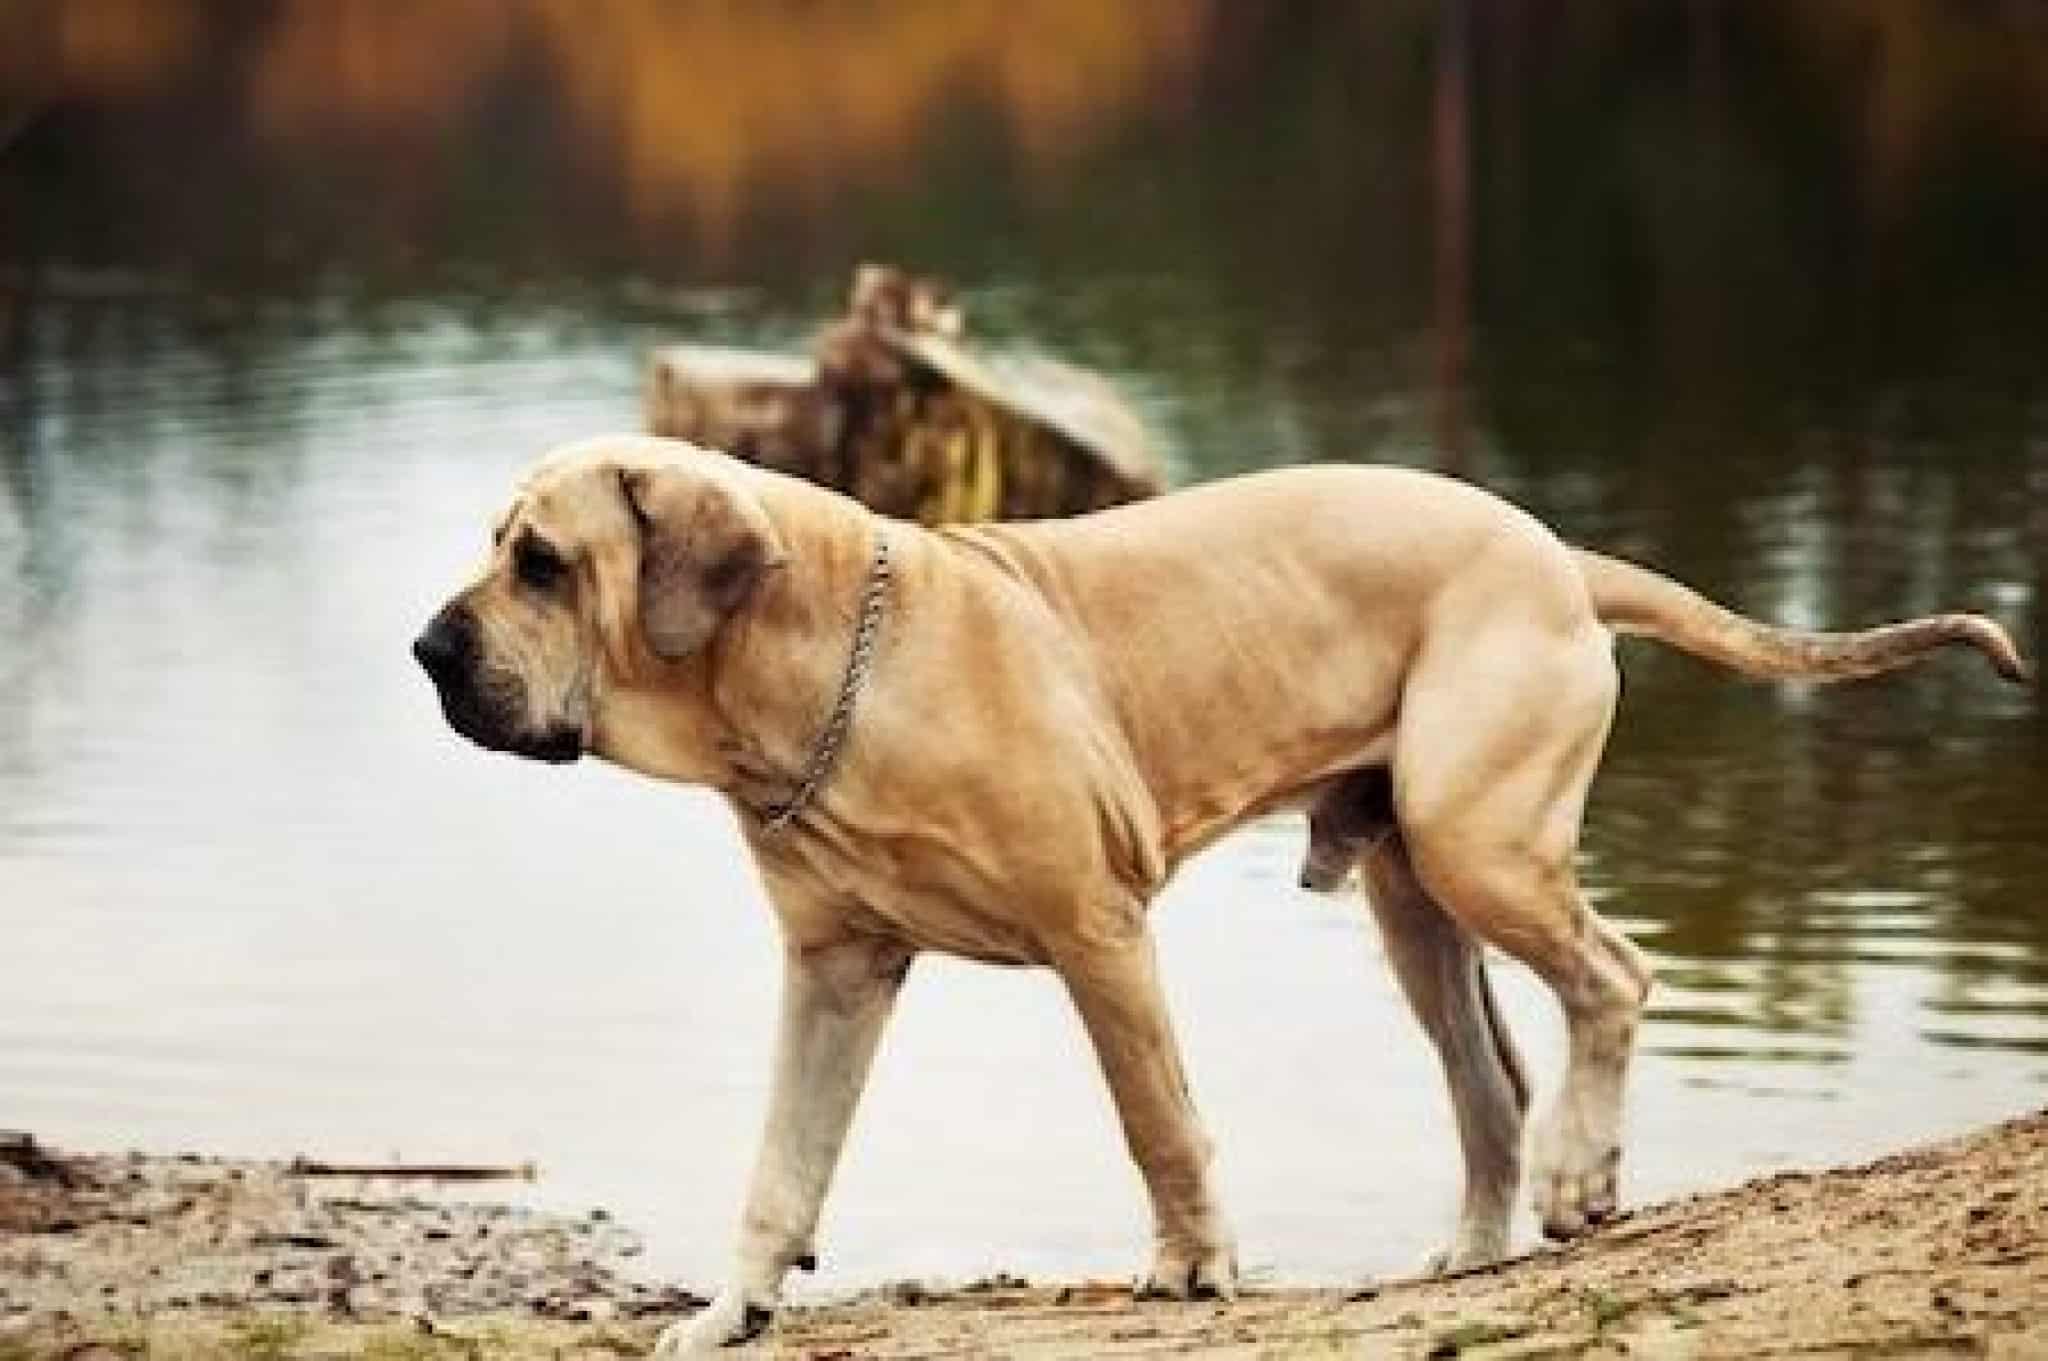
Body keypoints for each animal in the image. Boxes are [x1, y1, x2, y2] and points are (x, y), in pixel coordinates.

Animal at [412, 434, 2026, 1354]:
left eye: (541, 562)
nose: (428, 649)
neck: (813, 669)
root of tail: (1555, 551)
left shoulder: (1097, 931)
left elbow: (1159, 1121)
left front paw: (1192, 1267)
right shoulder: (834, 971)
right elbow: (781, 1162)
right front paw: (732, 1309)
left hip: (1480, 837)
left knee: (1610, 983)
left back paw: (1582, 1173)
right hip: (1415, 892)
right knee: (1490, 1076)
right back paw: (1476, 1248)